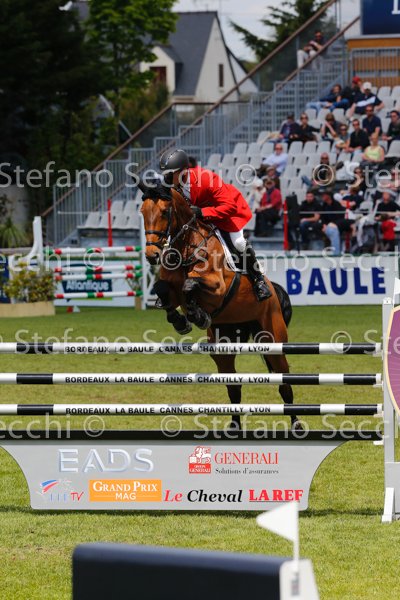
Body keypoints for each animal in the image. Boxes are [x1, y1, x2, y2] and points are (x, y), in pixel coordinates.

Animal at [139, 181, 299, 429]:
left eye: (165, 212)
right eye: (143, 212)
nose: (151, 254)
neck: (187, 246)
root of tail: (275, 291)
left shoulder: (218, 288)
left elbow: (190, 284)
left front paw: (197, 315)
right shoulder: (170, 289)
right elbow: (163, 290)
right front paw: (182, 321)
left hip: (272, 338)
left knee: (284, 382)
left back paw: (295, 423)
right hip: (224, 344)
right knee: (233, 386)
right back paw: (234, 426)